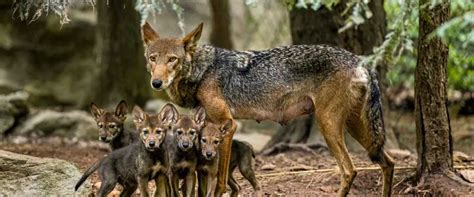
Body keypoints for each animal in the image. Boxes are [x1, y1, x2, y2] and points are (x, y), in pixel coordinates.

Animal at [140, 22, 392, 196]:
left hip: (328, 125)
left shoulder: (227, 125)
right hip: (355, 128)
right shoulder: (208, 129)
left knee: (350, 170)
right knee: (388, 162)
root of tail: (360, 61)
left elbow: (220, 179)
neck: (202, 71)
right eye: (153, 59)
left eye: (172, 59)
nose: (156, 83)